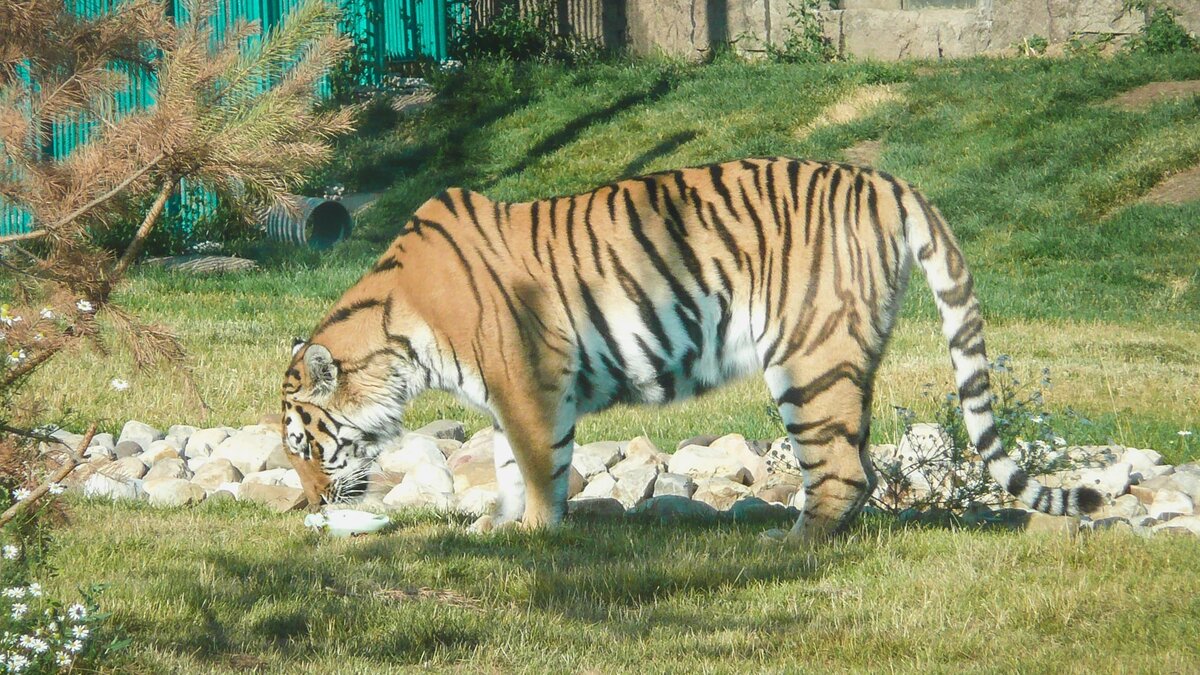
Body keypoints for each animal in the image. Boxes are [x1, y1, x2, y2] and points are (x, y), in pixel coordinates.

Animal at [278, 154, 1099, 538]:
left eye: (310, 447)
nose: (308, 505)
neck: (399, 339)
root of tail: (884, 181)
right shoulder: (514, 393)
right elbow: (512, 464)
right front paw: (501, 526)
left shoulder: (529, 380)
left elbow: (539, 466)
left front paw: (535, 535)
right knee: (859, 466)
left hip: (808, 358)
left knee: (840, 470)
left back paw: (788, 547)